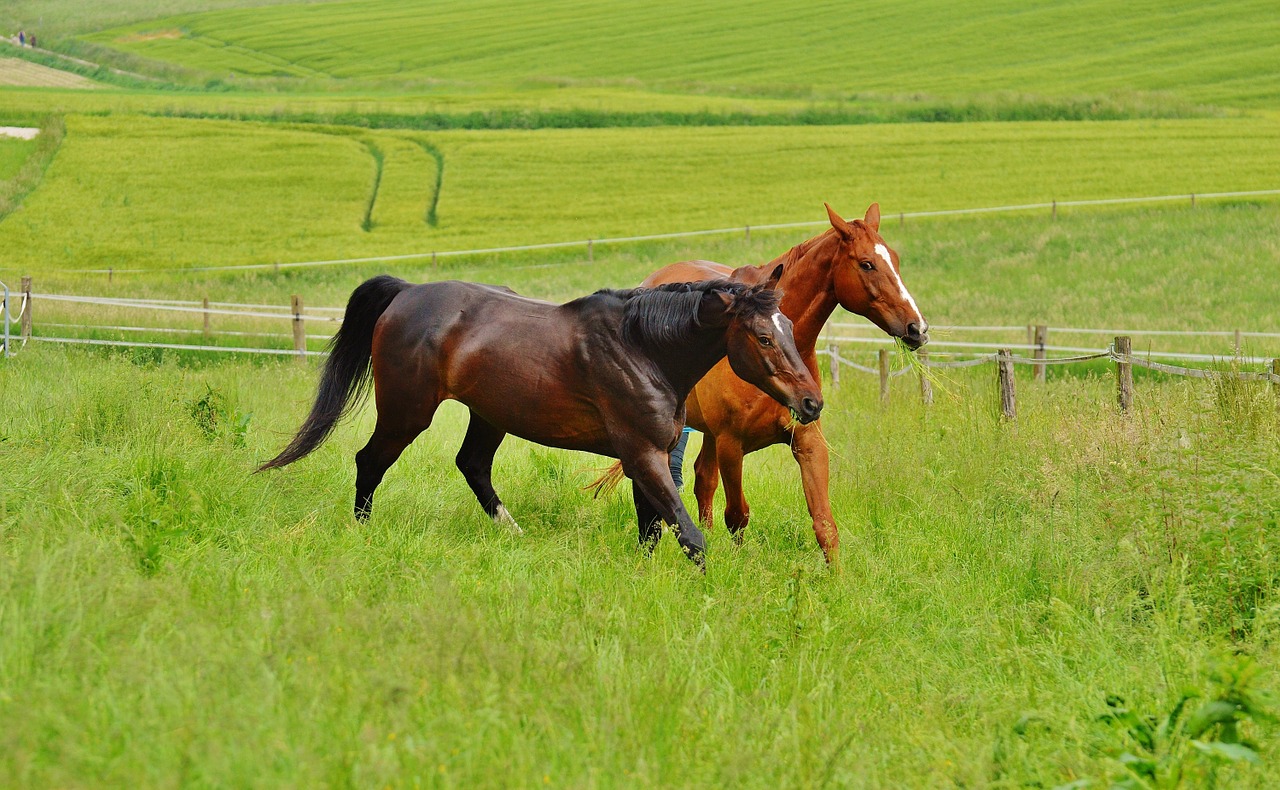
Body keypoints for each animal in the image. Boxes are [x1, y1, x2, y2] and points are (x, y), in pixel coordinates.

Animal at [257, 274, 819, 563]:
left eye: (790, 326)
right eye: (763, 337)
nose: (813, 403)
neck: (642, 348)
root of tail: (406, 293)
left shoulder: (652, 454)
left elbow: (653, 530)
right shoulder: (641, 454)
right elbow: (688, 535)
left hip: (488, 416)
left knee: (472, 465)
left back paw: (513, 532)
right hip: (406, 412)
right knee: (369, 461)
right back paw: (363, 531)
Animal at [591, 202, 931, 560]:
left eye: (895, 260)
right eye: (867, 264)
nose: (917, 328)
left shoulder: (808, 439)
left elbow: (824, 524)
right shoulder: (731, 444)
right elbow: (737, 515)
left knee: (703, 479)